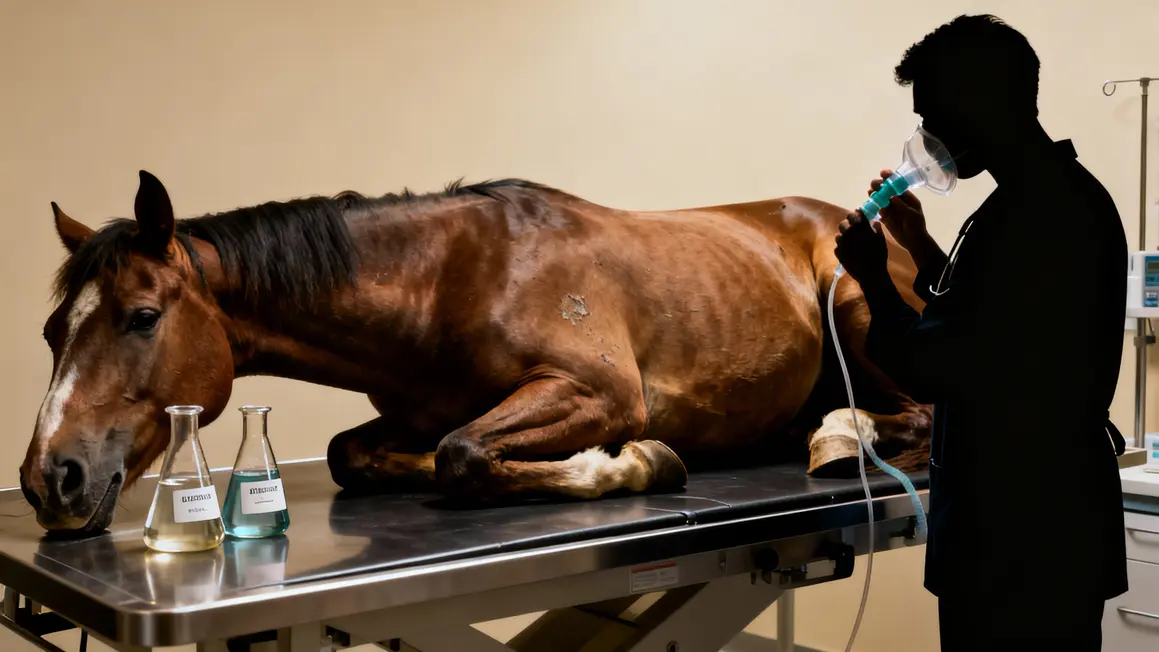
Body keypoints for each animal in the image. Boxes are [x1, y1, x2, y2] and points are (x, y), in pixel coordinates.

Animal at [20, 170, 932, 534]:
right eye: (53, 331)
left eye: (142, 317)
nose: (49, 479)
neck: (454, 277)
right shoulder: (402, 413)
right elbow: (353, 453)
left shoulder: (597, 392)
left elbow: (463, 453)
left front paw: (626, 463)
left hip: (857, 314)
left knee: (918, 417)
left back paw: (838, 436)